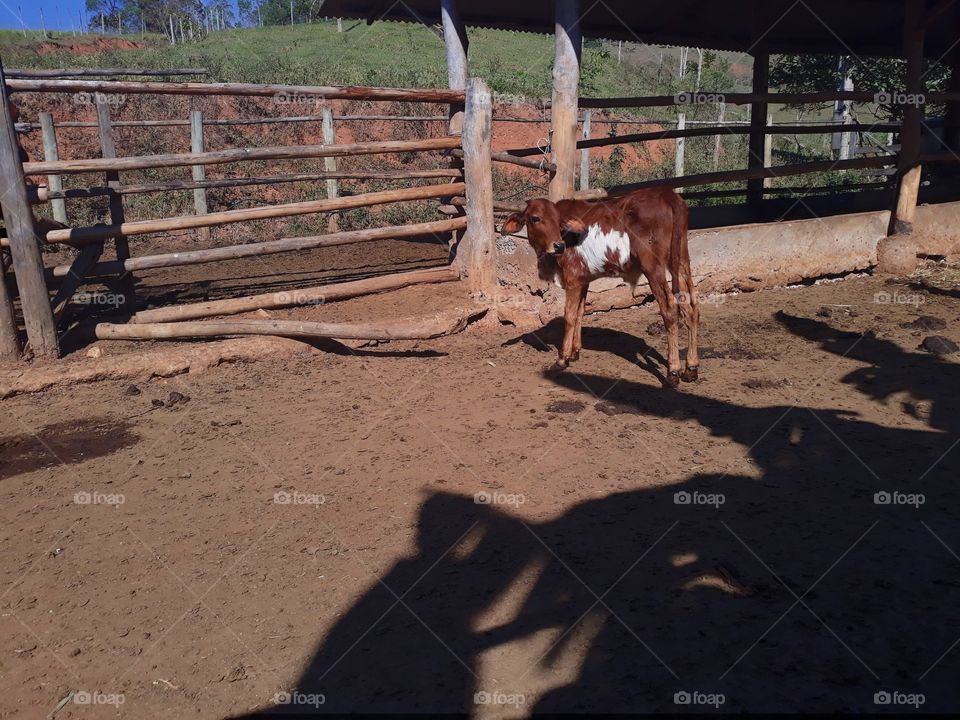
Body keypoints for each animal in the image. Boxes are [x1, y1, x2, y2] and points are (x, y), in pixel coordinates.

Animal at [502, 188, 696, 386]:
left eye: (558, 220)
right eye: (535, 218)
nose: (559, 245)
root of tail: (667, 193)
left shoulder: (572, 279)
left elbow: (569, 315)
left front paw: (562, 358)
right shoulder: (583, 279)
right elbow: (580, 312)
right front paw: (575, 352)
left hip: (653, 267)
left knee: (670, 309)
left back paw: (673, 370)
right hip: (681, 260)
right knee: (690, 307)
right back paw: (691, 368)